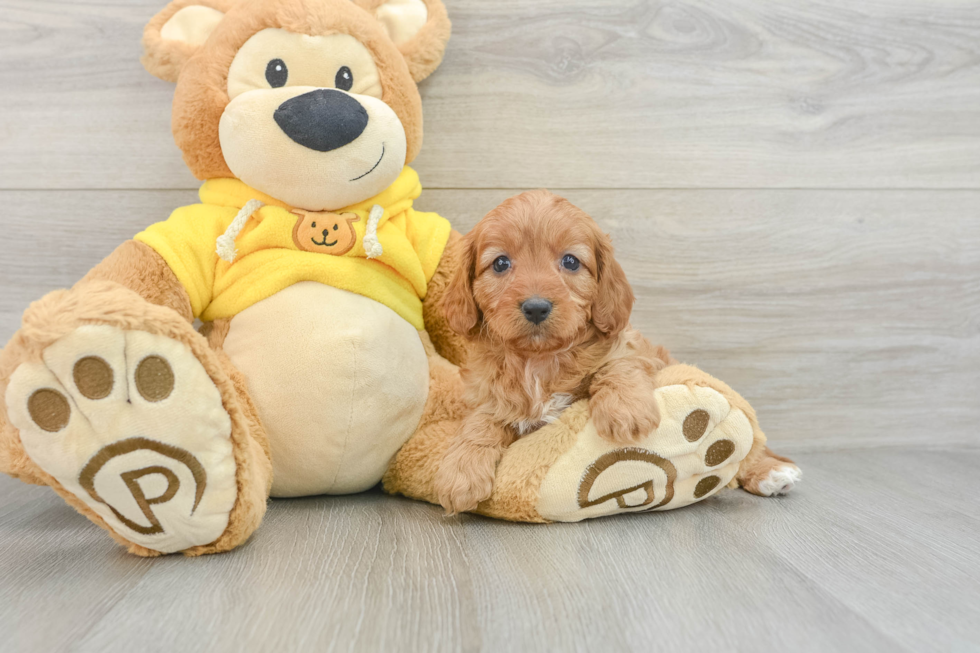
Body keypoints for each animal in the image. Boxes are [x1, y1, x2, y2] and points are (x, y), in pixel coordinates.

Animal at [436, 188, 672, 516]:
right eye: (500, 264)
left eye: (571, 261)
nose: (536, 307)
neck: (538, 360)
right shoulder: (489, 395)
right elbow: (481, 419)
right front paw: (460, 472)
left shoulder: (636, 348)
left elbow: (617, 364)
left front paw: (625, 409)